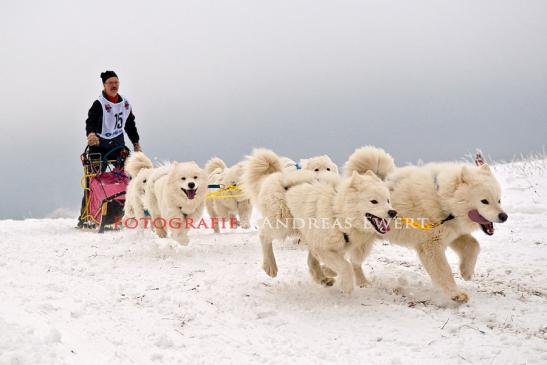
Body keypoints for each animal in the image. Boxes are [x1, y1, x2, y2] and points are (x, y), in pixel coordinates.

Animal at [244, 148, 394, 292]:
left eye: (388, 200)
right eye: (374, 201)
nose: (393, 212)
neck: (336, 210)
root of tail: (275, 176)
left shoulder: (335, 247)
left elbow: (341, 263)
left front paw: (329, 273)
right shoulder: (323, 247)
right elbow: (345, 265)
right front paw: (347, 286)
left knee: (311, 261)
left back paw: (322, 278)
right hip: (283, 225)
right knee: (264, 235)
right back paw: (270, 266)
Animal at [346, 145, 510, 302]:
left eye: (499, 200)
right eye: (484, 201)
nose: (504, 216)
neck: (442, 199)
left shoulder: (451, 233)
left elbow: (474, 245)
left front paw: (466, 272)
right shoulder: (431, 244)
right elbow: (444, 271)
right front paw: (456, 295)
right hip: (363, 243)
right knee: (354, 262)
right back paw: (362, 282)